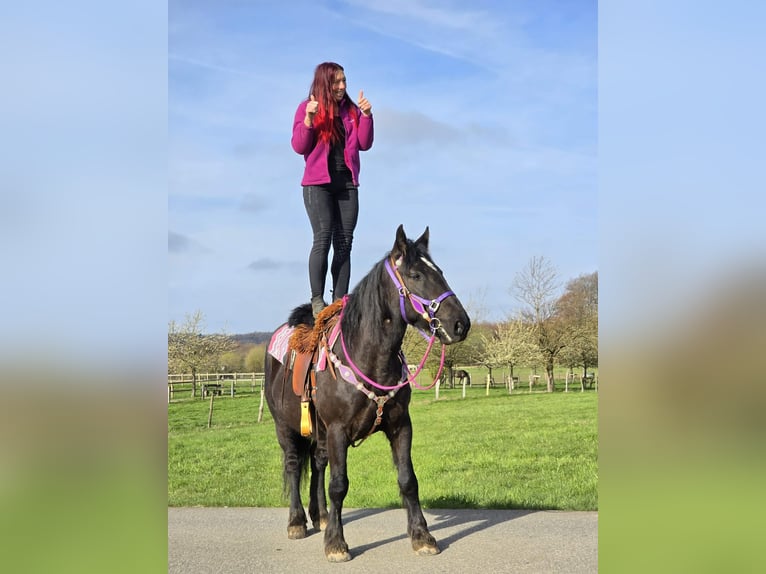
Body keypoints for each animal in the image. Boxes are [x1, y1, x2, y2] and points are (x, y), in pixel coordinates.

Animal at [264, 225, 470, 562]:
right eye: (415, 275)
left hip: (319, 433)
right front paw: (336, 544)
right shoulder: (337, 431)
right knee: (294, 466)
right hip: (286, 427)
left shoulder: (400, 426)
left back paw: (320, 516)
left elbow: (408, 480)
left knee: (318, 465)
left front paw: (422, 536)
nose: (460, 324)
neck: (368, 356)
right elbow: (339, 485)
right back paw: (297, 521)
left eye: (439, 272)